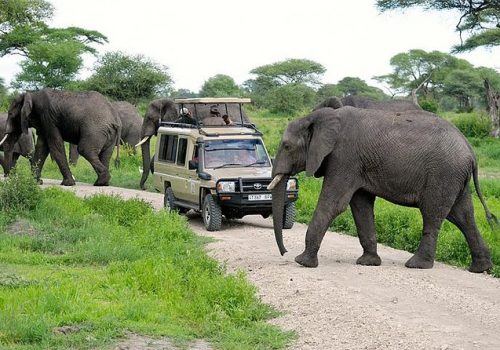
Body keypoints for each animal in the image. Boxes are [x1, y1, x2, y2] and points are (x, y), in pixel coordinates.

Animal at [268, 106, 494, 274]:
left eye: (286, 146)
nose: (284, 252)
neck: (319, 116)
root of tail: (470, 150)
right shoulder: (356, 164)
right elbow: (360, 206)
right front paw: (368, 263)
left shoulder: (344, 157)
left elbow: (334, 204)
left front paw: (302, 262)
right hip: (455, 177)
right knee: (463, 216)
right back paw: (480, 268)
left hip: (443, 174)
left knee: (433, 213)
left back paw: (417, 265)